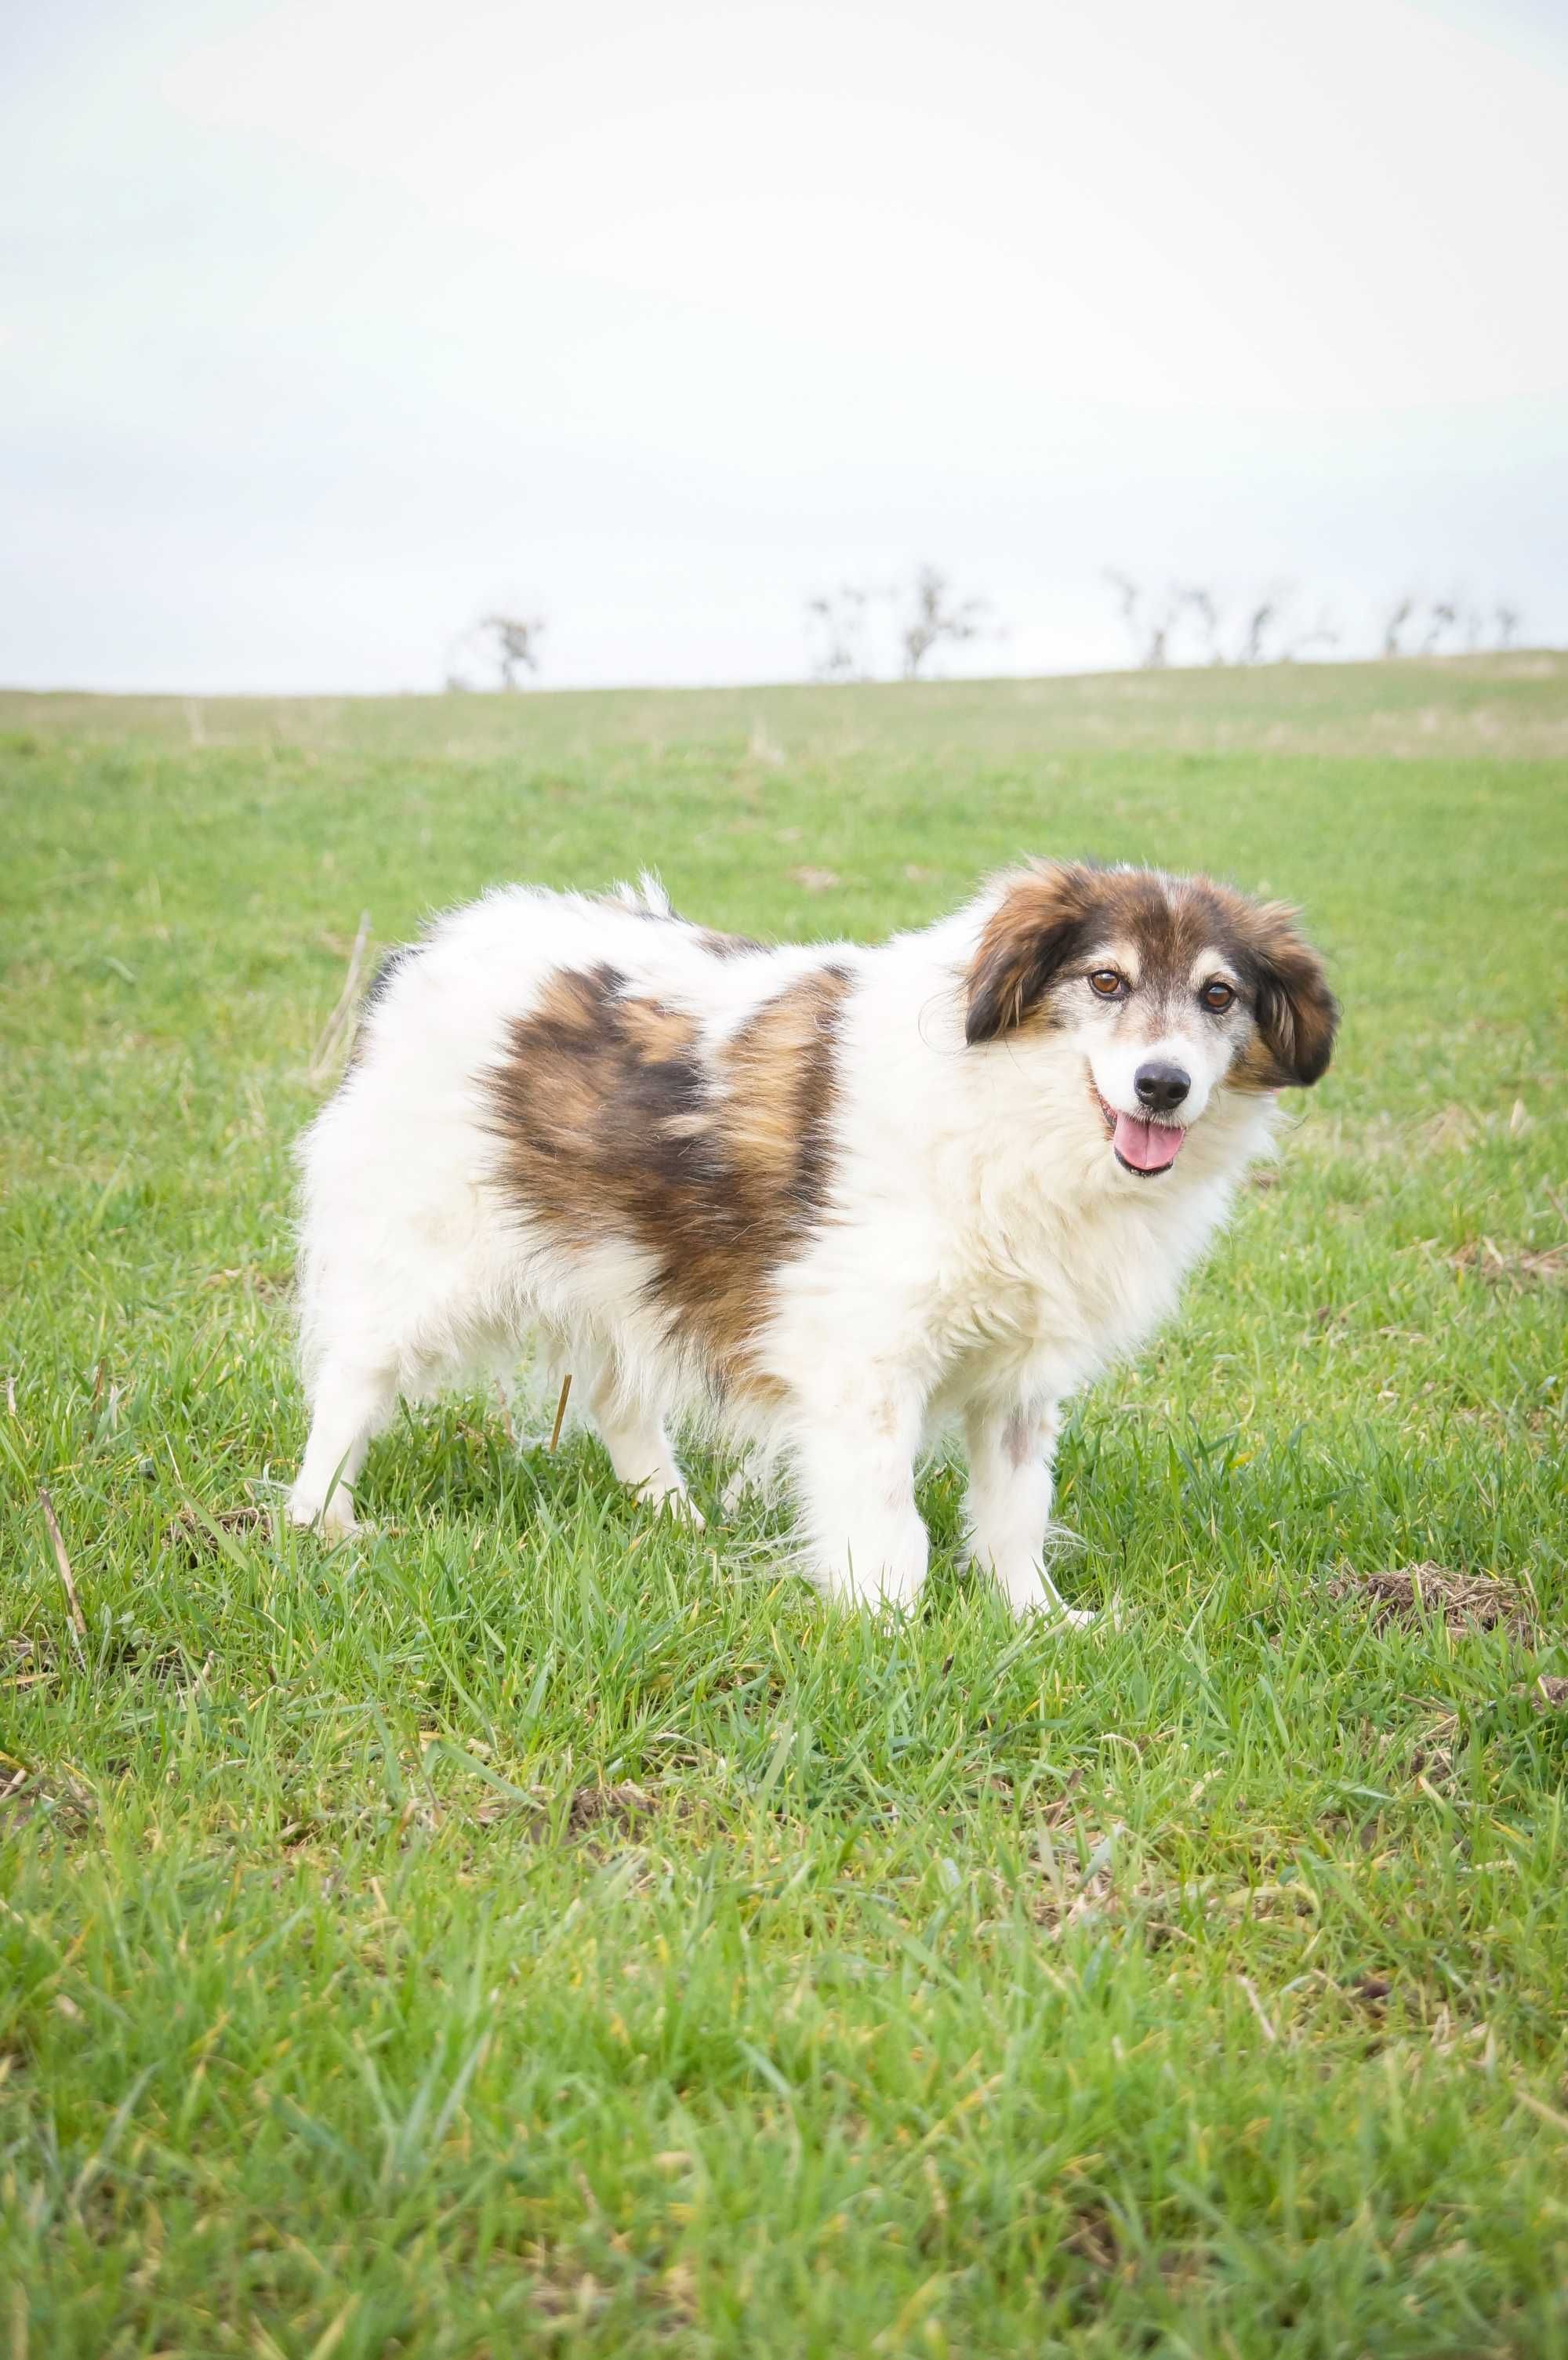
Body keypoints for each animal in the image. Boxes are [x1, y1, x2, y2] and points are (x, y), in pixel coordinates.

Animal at [284, 868, 1331, 1623]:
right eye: (1105, 980)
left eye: (1218, 996)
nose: (1162, 1085)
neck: (1018, 1113)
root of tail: (429, 949)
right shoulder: (865, 1354)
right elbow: (887, 1517)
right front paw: (885, 1628)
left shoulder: (1019, 1380)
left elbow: (1014, 1512)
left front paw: (1036, 1621)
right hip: (430, 1259)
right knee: (354, 1380)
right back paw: (319, 1516)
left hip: (623, 1258)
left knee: (621, 1398)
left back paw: (673, 1515)